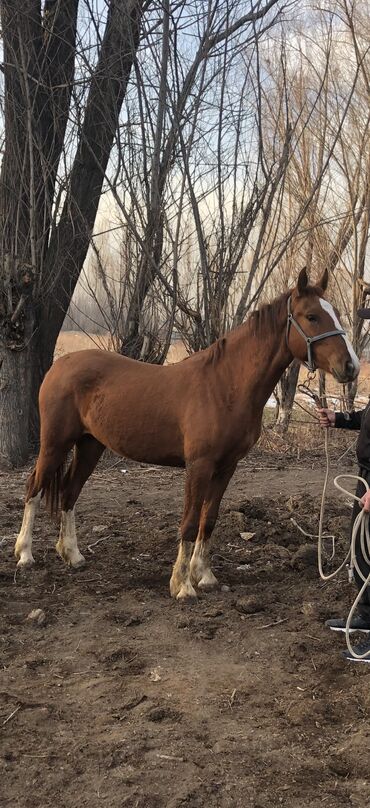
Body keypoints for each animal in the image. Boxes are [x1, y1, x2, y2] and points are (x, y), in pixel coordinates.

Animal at [13, 268, 358, 596]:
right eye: (312, 316)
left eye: (335, 312)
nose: (350, 366)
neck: (225, 385)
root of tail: (61, 365)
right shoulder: (199, 466)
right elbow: (190, 522)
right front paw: (182, 585)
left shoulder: (227, 467)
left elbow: (209, 519)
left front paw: (204, 576)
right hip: (55, 444)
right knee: (34, 488)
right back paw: (25, 555)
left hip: (90, 445)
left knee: (69, 493)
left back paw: (73, 555)